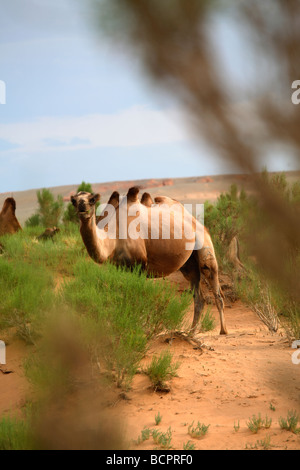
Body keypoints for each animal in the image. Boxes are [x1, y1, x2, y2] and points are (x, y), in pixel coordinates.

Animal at [71, 187, 227, 334]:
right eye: (74, 201)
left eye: (92, 200)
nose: (82, 207)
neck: (114, 237)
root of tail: (197, 222)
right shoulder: (120, 267)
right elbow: (122, 296)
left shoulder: (139, 266)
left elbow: (137, 297)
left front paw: (138, 328)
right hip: (189, 264)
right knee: (198, 295)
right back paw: (191, 332)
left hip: (204, 244)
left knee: (214, 283)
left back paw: (223, 330)